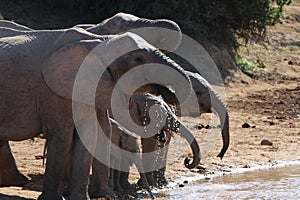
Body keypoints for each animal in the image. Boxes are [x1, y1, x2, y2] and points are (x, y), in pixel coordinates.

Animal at [0, 28, 196, 200]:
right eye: (138, 58)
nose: (187, 161)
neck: (100, 42)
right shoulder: (54, 90)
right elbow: (62, 135)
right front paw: (54, 199)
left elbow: (90, 134)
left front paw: (89, 197)